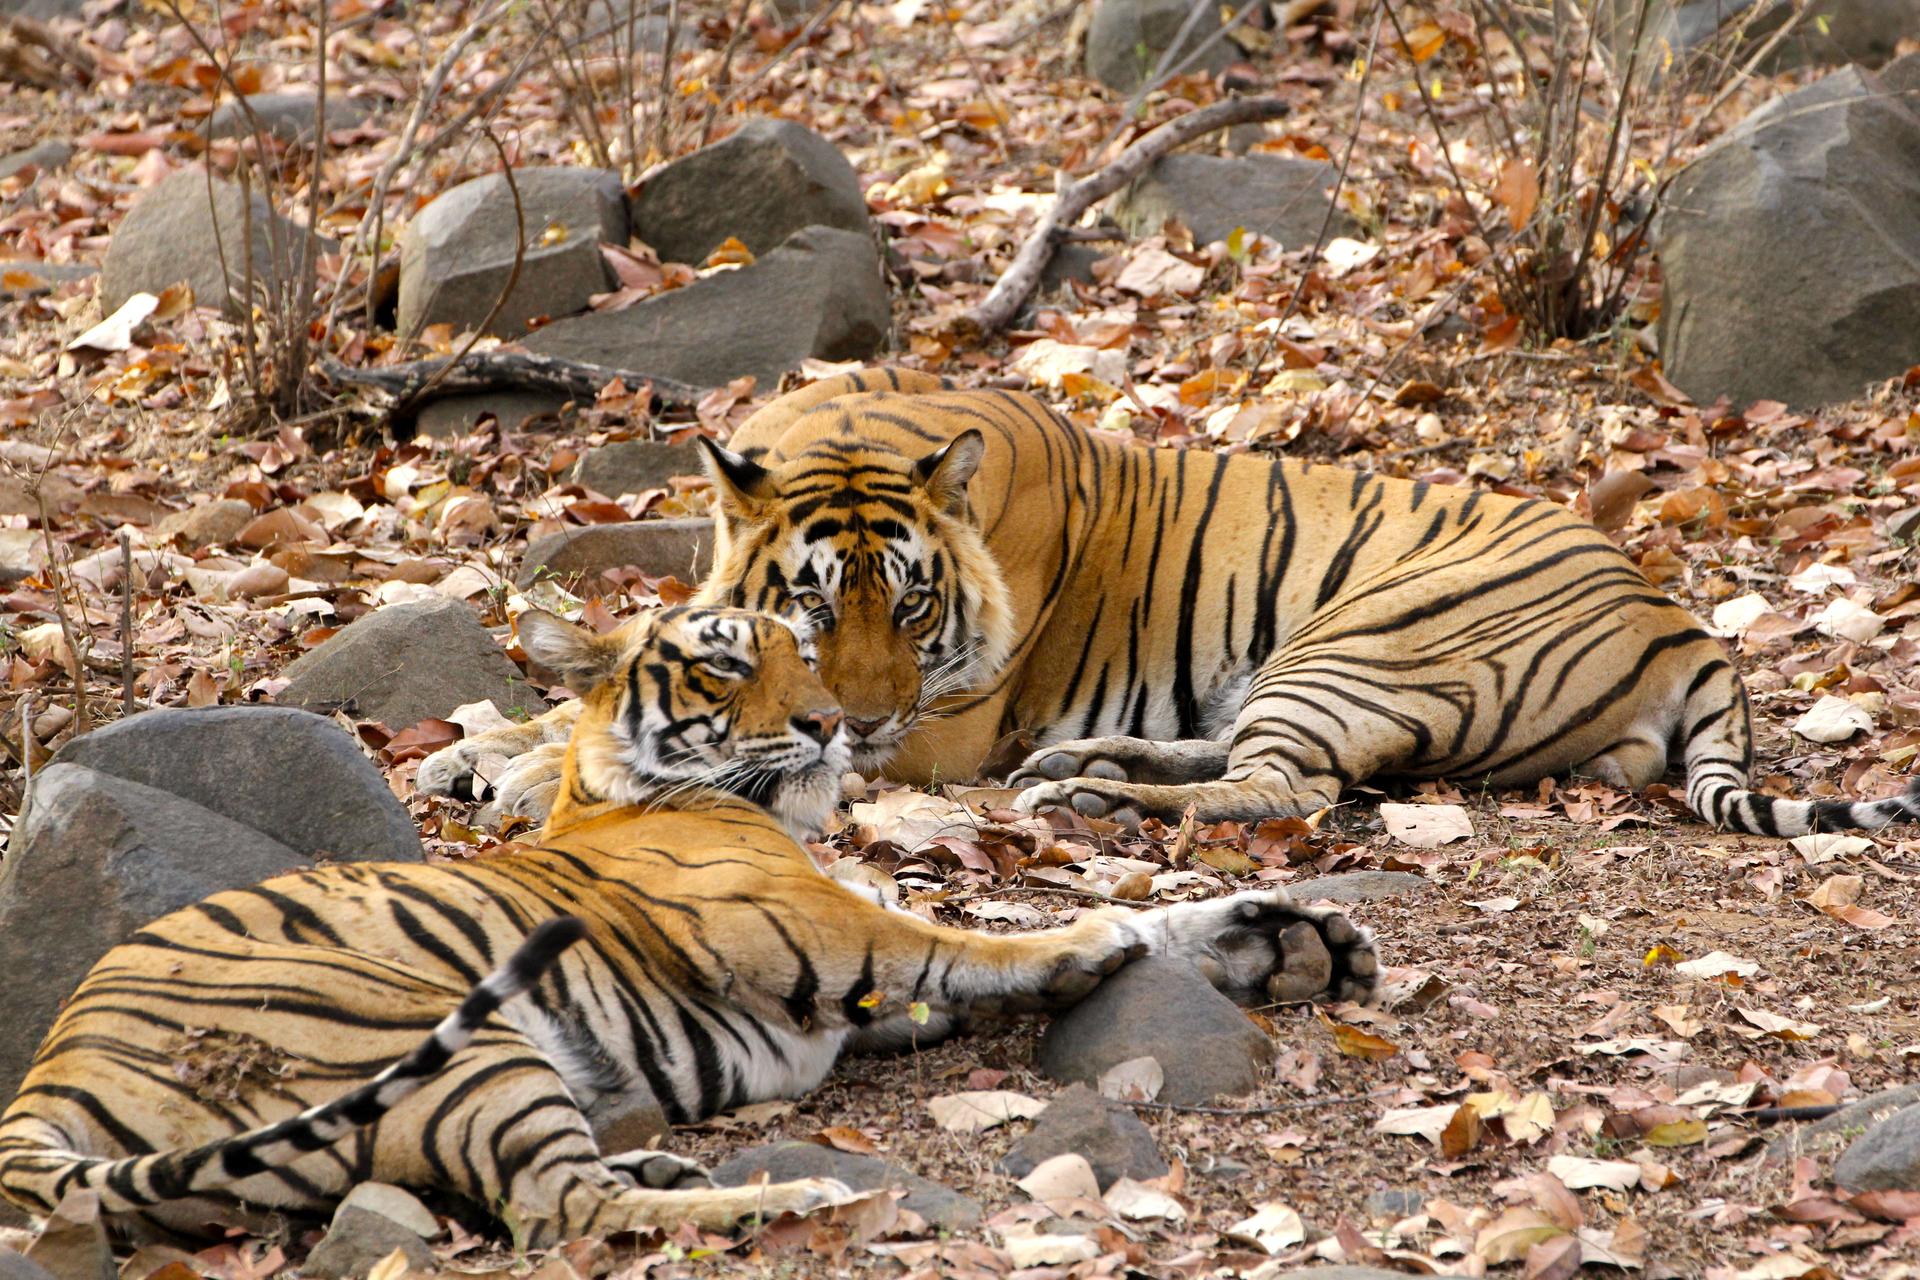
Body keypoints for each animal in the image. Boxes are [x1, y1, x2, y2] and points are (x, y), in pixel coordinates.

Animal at [0, 604, 1378, 1247]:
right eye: (723, 665)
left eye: (806, 645)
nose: (836, 722)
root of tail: (48, 1075)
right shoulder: (804, 923)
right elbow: (972, 935)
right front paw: (1095, 942)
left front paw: (1285, 937)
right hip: (444, 1039)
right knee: (559, 1210)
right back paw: (790, 1192)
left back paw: (673, 1167)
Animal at [420, 368, 1919, 838]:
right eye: (814, 608)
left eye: (914, 611)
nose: (857, 723)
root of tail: (1681, 616)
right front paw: (480, 749)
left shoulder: (945, 725)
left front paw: (522, 768)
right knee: (1243, 761)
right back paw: (1088, 763)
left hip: (1361, 639)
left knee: (1284, 791)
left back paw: (1089, 790)